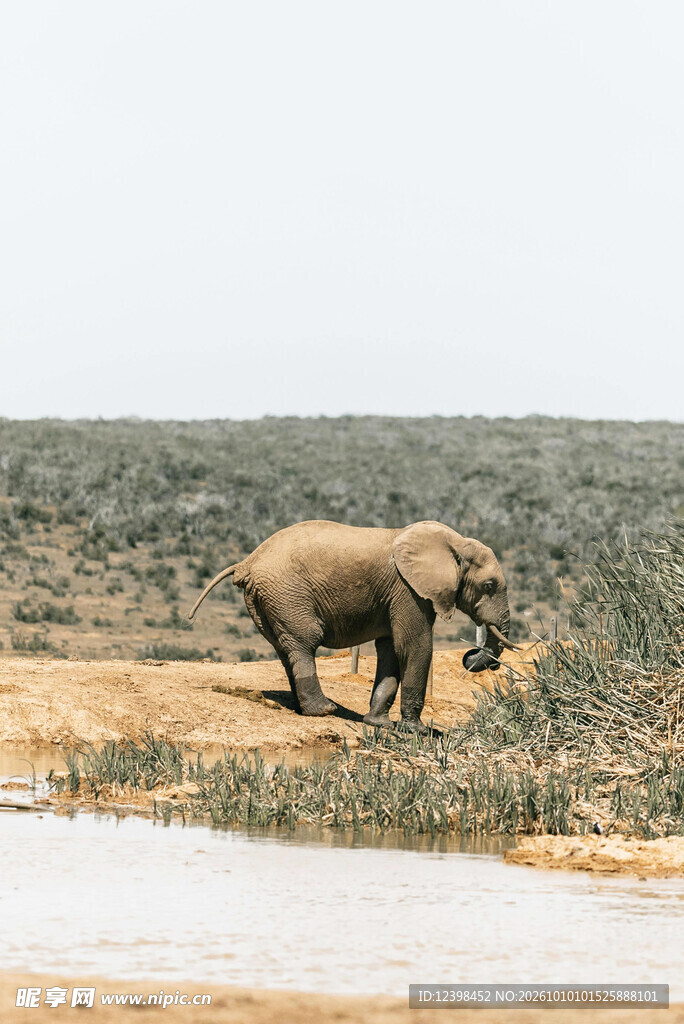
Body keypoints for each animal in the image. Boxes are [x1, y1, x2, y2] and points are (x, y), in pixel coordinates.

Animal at [188, 520, 518, 733]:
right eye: (489, 586)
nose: (471, 655)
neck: (454, 543)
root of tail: (247, 562)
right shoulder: (408, 590)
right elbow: (413, 645)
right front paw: (416, 731)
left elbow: (390, 650)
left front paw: (379, 724)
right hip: (286, 593)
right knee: (303, 643)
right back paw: (324, 710)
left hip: (268, 599)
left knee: (286, 649)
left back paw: (305, 708)